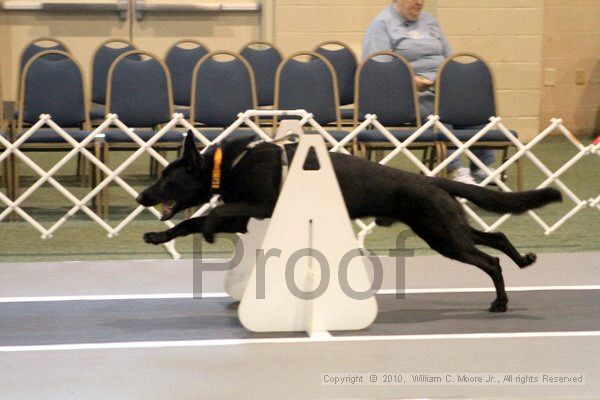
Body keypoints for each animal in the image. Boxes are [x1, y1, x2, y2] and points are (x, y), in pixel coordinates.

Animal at [137, 134, 564, 312]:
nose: (141, 197)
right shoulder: (242, 216)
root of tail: (431, 180)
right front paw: (158, 235)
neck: (226, 166)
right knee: (497, 235)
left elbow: (209, 215)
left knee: (490, 261)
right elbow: (189, 222)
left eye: (167, 179)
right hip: (446, 228)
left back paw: (501, 303)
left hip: (444, 236)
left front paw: (206, 232)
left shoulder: (257, 204)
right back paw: (522, 262)